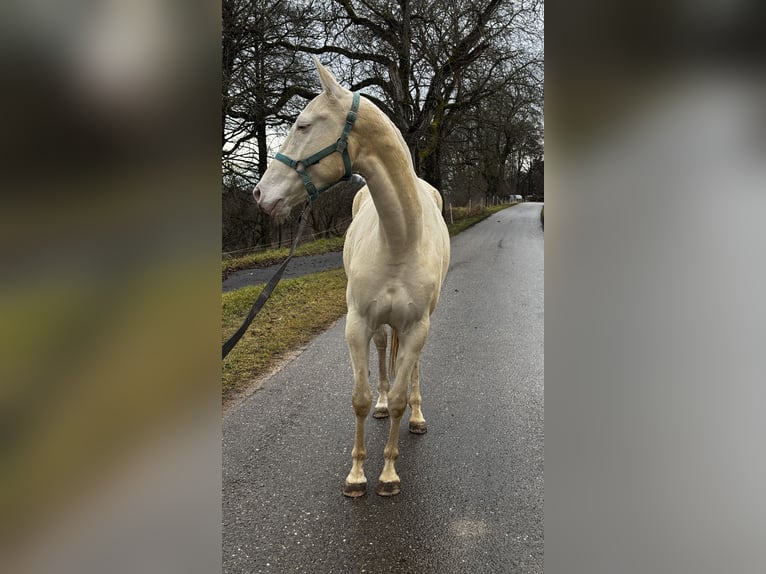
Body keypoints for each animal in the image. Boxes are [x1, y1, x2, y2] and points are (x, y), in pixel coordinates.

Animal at [255, 59, 452, 500]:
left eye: (304, 125)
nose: (260, 194)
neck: (398, 239)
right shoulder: (357, 324)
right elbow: (360, 399)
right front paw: (357, 474)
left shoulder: (417, 327)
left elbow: (400, 397)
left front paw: (389, 474)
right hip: (377, 326)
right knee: (381, 353)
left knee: (411, 371)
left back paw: (417, 416)